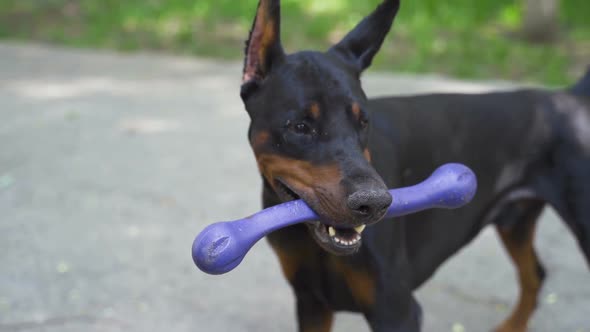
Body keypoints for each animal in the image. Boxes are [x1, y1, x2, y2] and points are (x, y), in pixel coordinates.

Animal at [239, 0, 590, 330]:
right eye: (300, 126)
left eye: (363, 121)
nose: (374, 204)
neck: (310, 239)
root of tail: (570, 98)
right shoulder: (311, 301)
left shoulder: (395, 310)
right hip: (515, 220)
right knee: (536, 273)